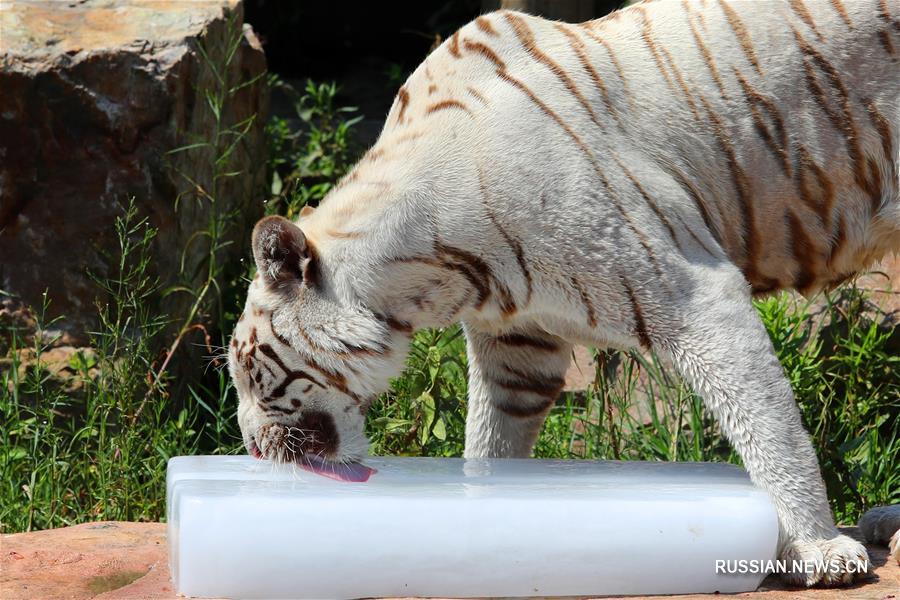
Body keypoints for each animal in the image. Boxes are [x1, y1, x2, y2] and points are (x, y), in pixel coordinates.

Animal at [230, 0, 900, 588]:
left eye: (250, 372)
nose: (253, 450)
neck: (437, 276)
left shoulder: (693, 292)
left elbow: (767, 421)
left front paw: (816, 549)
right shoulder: (517, 344)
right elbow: (490, 442)